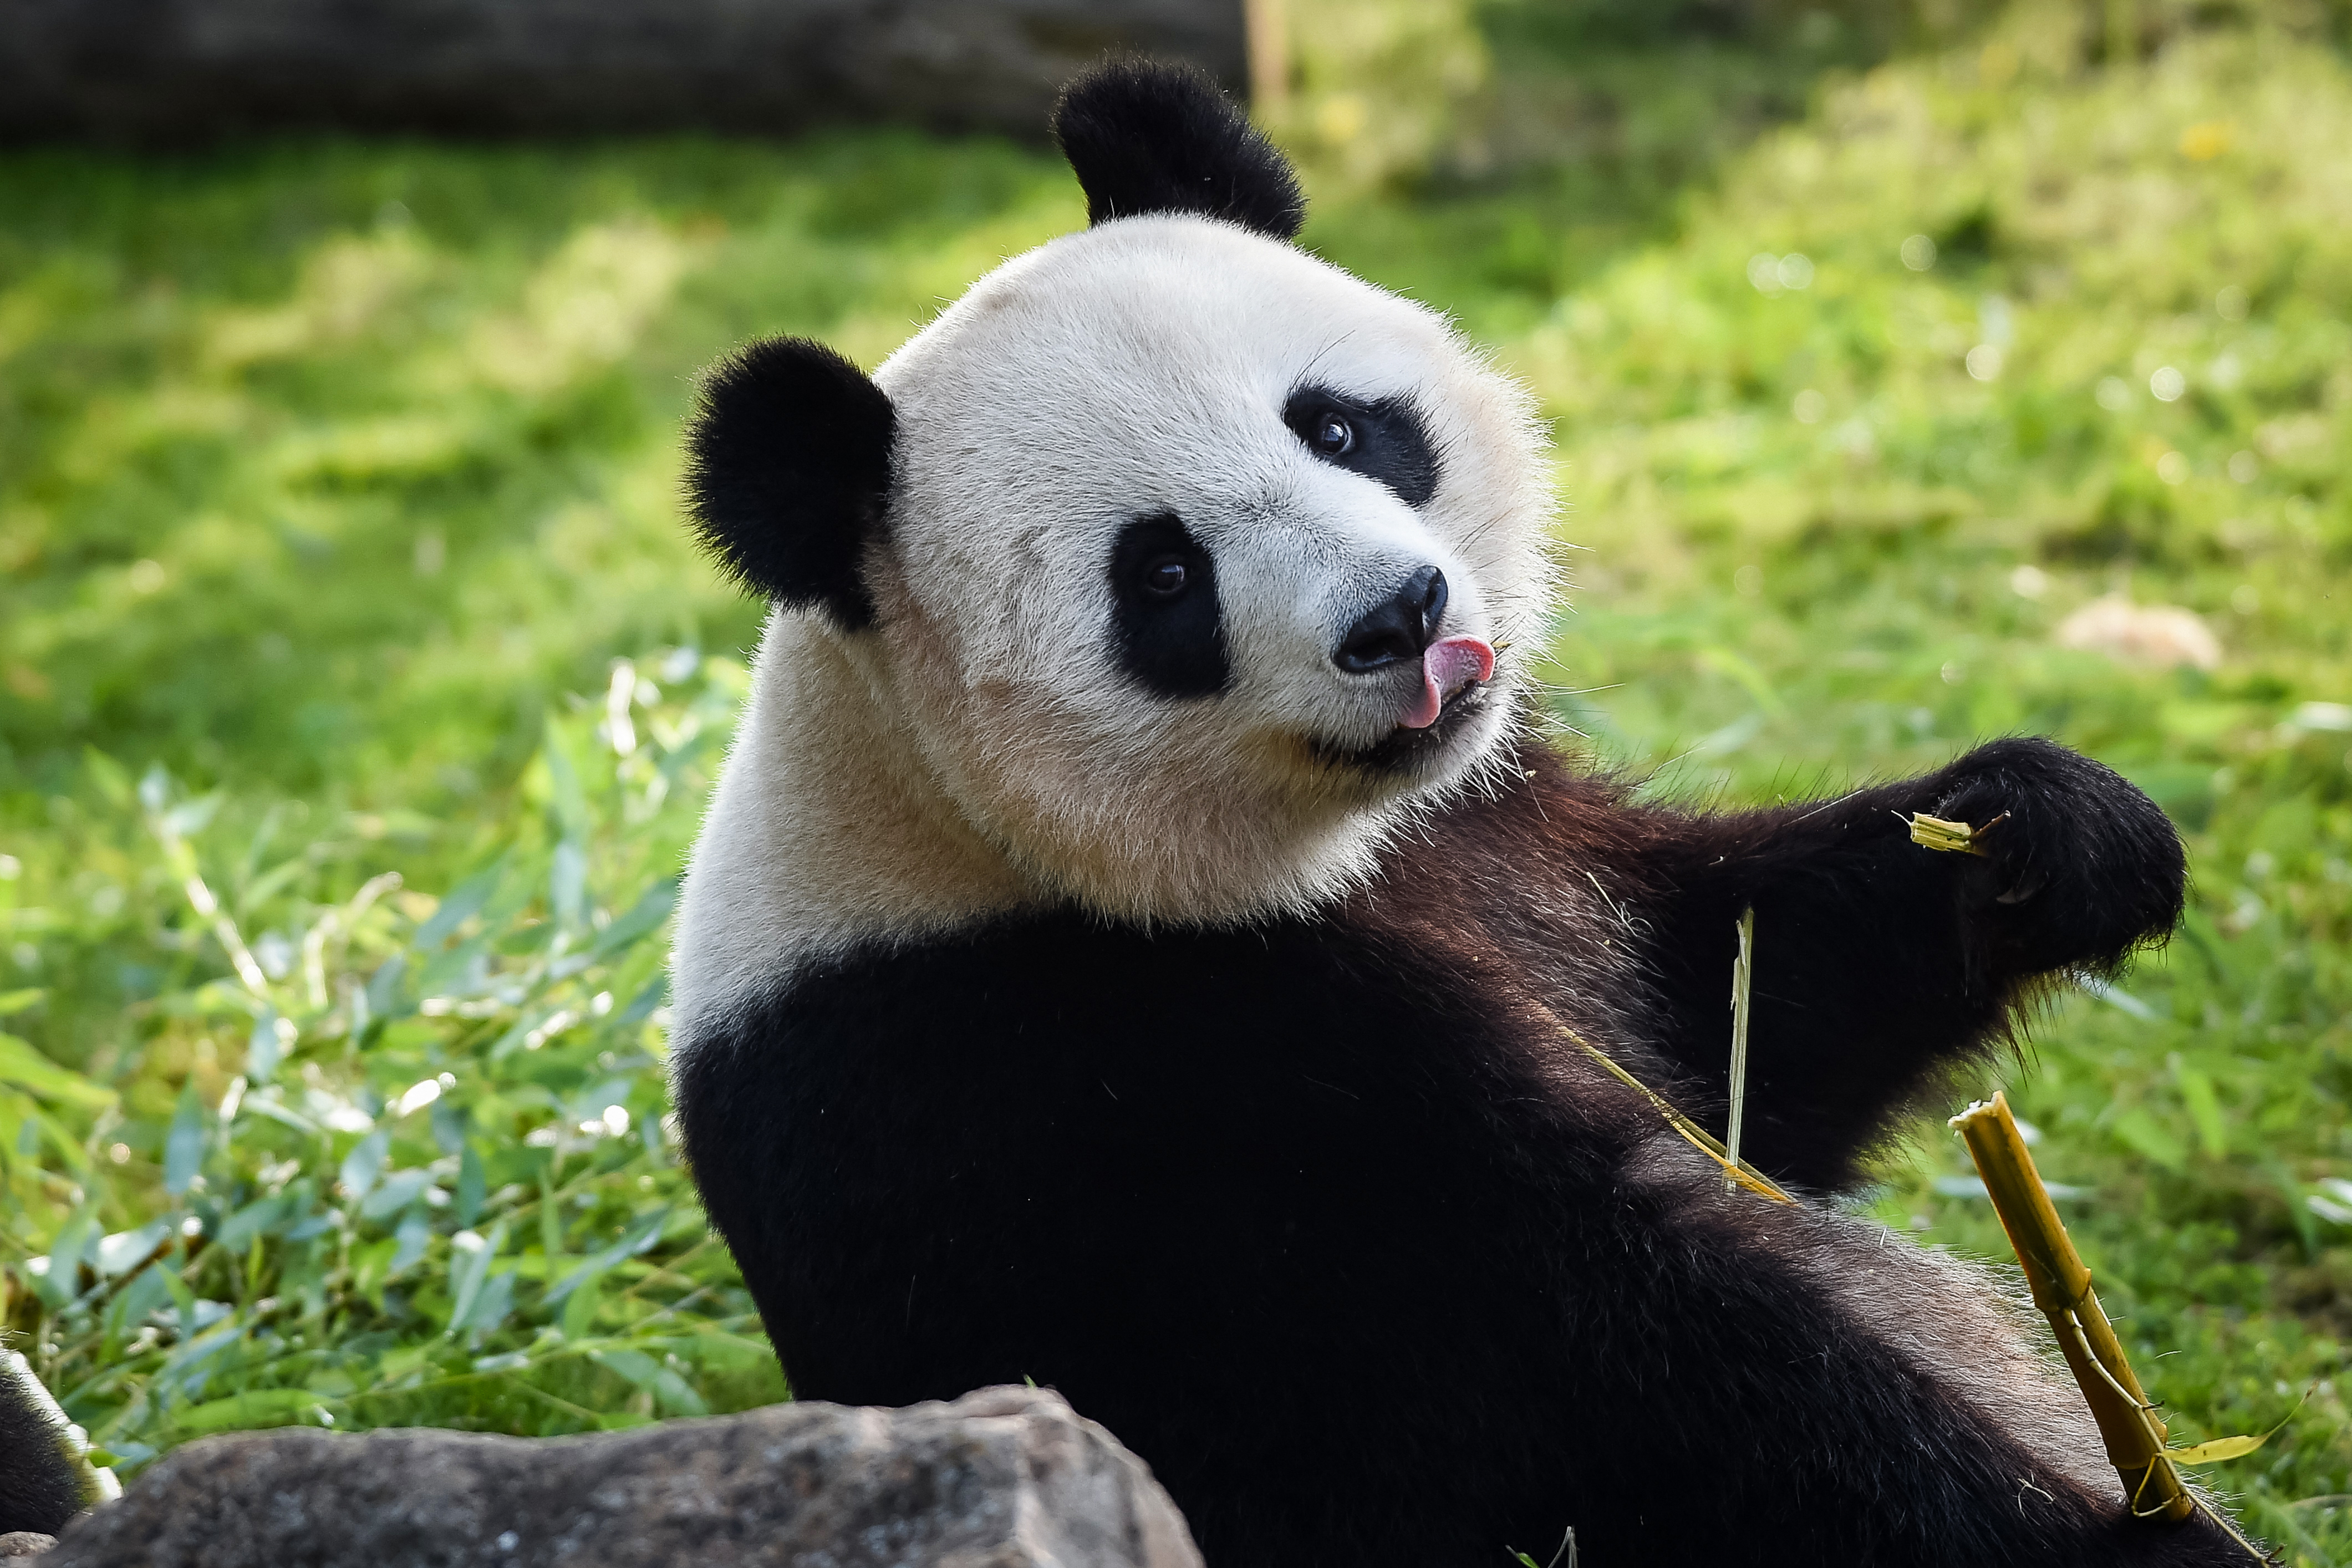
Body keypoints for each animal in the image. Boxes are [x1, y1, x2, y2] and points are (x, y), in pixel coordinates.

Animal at [668, 55, 2258, 1561]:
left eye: (1337, 426)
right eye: (1163, 576)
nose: (1403, 615)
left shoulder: (1498, 830)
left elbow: (1748, 1016)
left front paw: (2047, 836)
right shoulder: (1098, 1090)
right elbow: (1626, 1380)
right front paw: (2128, 1529)